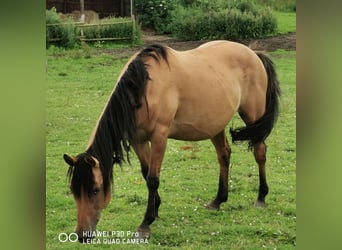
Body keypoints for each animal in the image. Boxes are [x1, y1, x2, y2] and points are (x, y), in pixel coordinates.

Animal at [63, 40, 280, 241]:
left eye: (95, 190)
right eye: (73, 190)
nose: (81, 235)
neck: (144, 88)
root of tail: (254, 53)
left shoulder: (160, 137)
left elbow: (153, 179)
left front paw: (146, 223)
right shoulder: (138, 140)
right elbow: (146, 173)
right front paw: (156, 210)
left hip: (253, 115)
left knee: (260, 152)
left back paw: (261, 197)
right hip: (215, 124)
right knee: (224, 155)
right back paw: (218, 200)